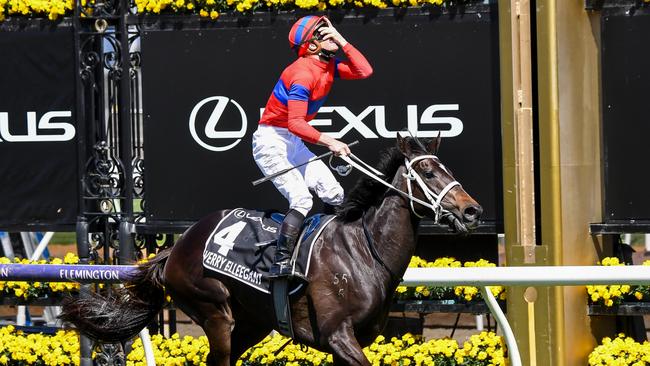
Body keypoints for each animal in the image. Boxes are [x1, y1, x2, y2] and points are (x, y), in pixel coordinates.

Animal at [60, 136, 480, 366]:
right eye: (427, 172)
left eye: (446, 168)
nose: (471, 210)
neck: (363, 252)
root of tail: (176, 248)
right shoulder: (338, 336)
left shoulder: (353, 341)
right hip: (214, 310)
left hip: (253, 321)